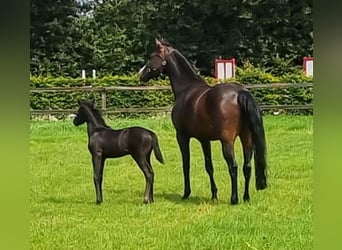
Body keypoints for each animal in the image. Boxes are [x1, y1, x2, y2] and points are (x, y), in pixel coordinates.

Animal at [139, 38, 268, 204]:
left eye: (152, 56)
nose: (140, 74)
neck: (186, 89)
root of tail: (240, 93)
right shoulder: (204, 139)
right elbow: (209, 166)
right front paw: (214, 194)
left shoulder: (182, 136)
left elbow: (186, 164)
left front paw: (186, 193)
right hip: (247, 138)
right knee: (247, 166)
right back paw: (246, 197)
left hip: (227, 142)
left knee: (233, 166)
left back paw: (234, 199)